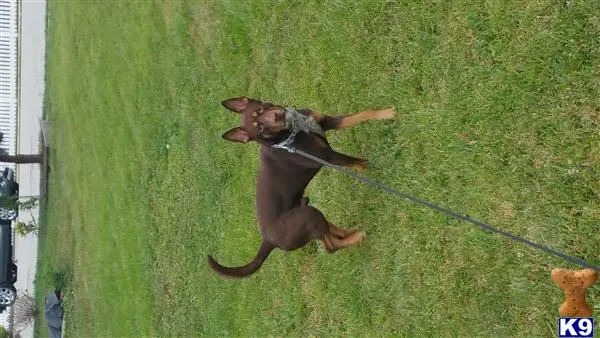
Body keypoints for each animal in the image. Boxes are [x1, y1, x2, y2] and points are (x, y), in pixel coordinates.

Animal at [206, 96, 394, 278]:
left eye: (259, 109)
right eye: (259, 128)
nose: (276, 116)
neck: (291, 133)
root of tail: (268, 240)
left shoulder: (328, 122)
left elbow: (361, 115)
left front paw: (387, 113)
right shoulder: (327, 157)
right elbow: (357, 162)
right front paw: (374, 168)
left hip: (305, 207)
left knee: (326, 231)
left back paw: (350, 232)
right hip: (307, 216)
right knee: (330, 246)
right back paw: (356, 237)